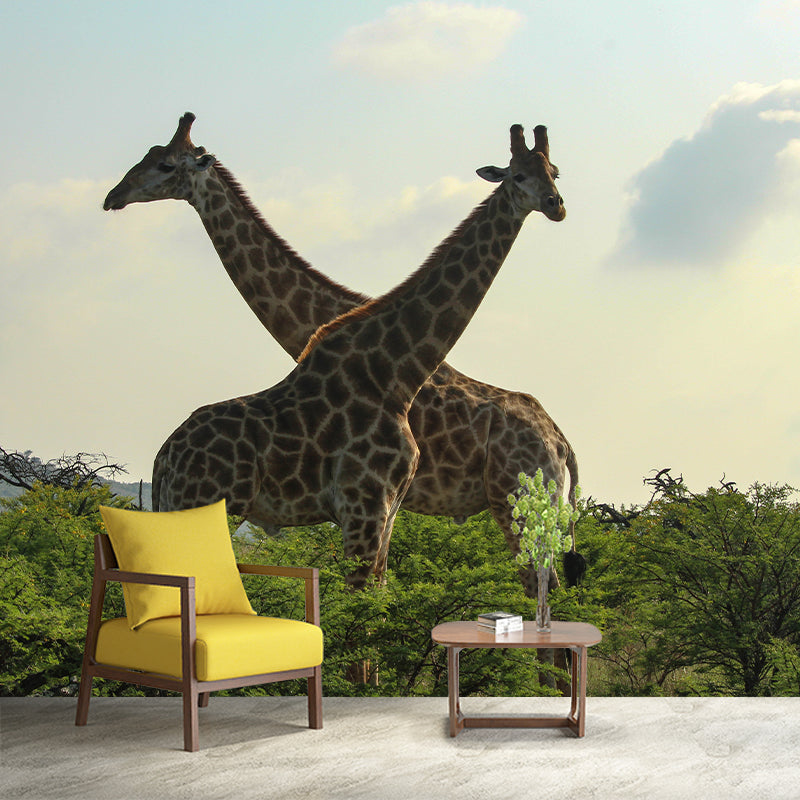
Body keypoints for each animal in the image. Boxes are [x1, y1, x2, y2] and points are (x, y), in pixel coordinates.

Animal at [104, 115, 579, 593]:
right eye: (519, 176)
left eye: (554, 172)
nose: (113, 196)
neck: (394, 367)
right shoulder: (367, 507)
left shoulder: (379, 509)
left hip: (519, 501)